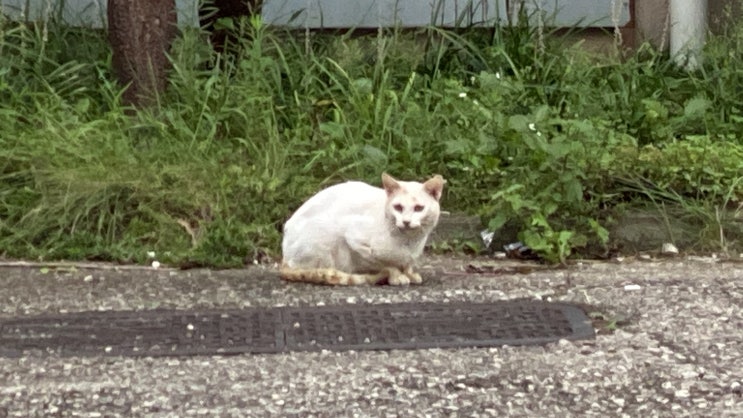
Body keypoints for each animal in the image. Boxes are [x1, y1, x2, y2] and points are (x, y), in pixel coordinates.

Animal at [280, 172, 444, 284]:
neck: (410, 242)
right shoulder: (354, 239)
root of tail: (284, 257)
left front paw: (409, 274)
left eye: (418, 208)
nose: (406, 221)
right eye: (398, 207)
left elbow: (408, 263)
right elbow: (386, 264)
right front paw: (396, 276)